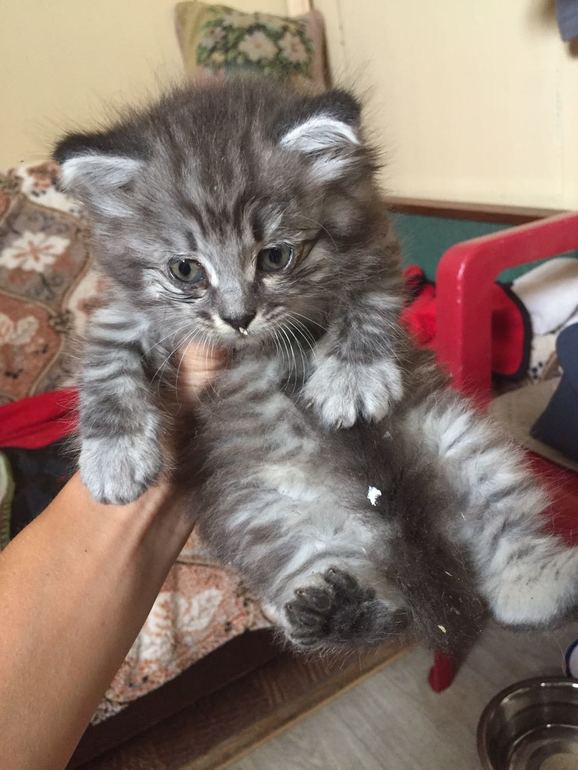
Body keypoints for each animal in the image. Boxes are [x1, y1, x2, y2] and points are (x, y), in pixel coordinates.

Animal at [55, 76, 578, 653]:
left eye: (275, 257)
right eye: (186, 270)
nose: (238, 317)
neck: (258, 346)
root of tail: (402, 534)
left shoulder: (375, 251)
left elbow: (365, 307)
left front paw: (351, 379)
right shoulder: (118, 314)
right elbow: (106, 369)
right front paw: (114, 458)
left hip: (469, 446)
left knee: (511, 557)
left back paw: (552, 581)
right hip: (268, 519)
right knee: (379, 613)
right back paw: (338, 611)